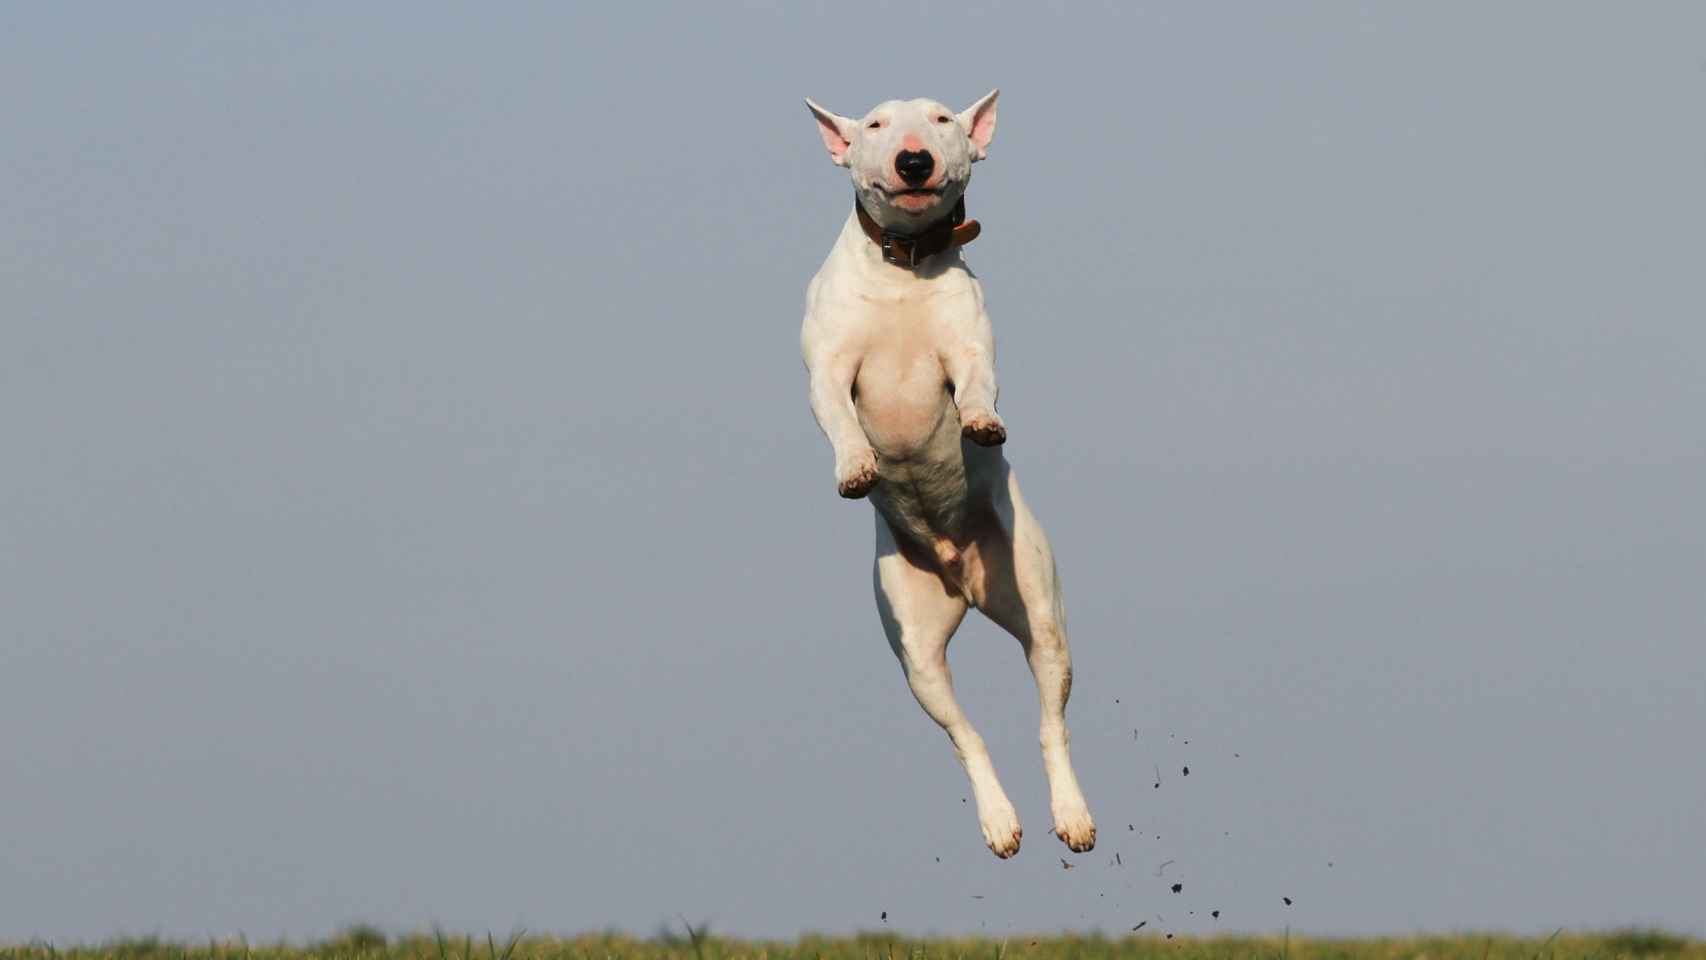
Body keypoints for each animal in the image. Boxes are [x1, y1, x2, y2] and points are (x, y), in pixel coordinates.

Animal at [794, 88, 1091, 855]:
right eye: (874, 124)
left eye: (941, 120)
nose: (913, 160)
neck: (904, 269)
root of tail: (963, 575)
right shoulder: (829, 368)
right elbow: (838, 417)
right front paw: (856, 468)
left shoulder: (968, 350)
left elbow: (978, 385)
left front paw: (980, 425)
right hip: (916, 652)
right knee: (965, 734)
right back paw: (1000, 821)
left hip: (1038, 608)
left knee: (1050, 721)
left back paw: (1070, 817)